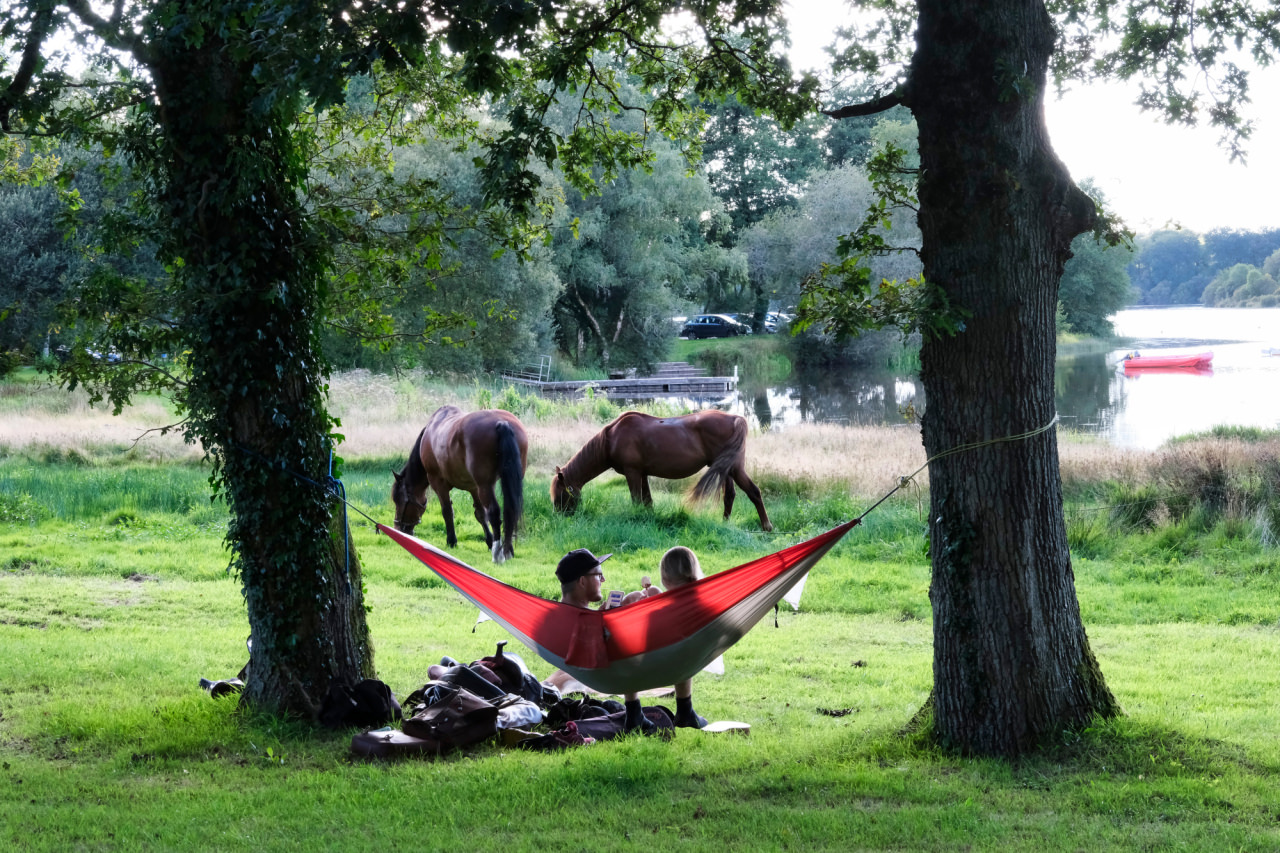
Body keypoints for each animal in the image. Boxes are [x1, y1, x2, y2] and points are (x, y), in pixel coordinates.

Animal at [391, 409, 527, 560]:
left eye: (399, 500)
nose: (398, 528)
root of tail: (501, 423)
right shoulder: (473, 487)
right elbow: (480, 514)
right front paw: (489, 540)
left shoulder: (438, 483)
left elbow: (447, 511)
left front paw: (451, 541)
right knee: (510, 511)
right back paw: (508, 549)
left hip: (485, 485)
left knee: (494, 512)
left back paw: (498, 552)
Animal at [547, 409, 768, 527]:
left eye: (560, 495)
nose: (559, 518)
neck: (611, 439)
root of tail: (735, 418)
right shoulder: (642, 474)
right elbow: (647, 501)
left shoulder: (632, 473)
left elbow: (637, 500)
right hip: (727, 470)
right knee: (729, 495)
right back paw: (725, 523)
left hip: (735, 470)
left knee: (754, 492)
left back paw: (766, 526)